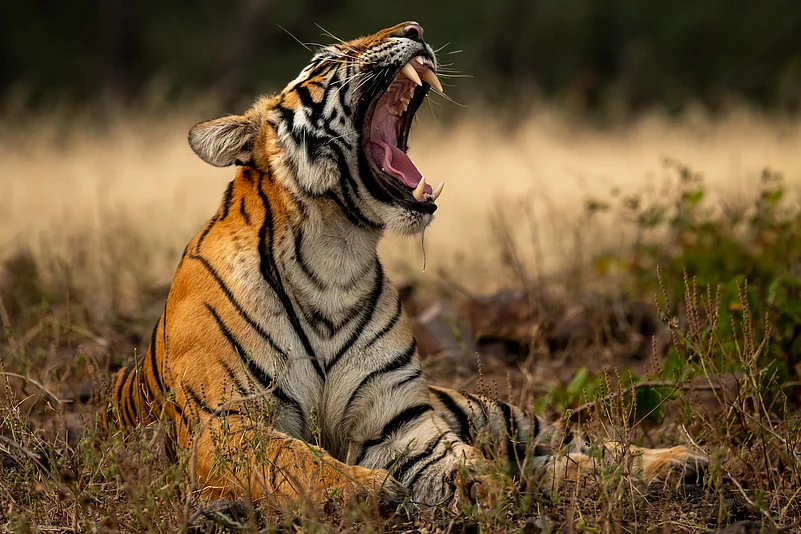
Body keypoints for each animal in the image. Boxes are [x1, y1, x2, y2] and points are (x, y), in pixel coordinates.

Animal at [106, 21, 707, 509]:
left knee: (576, 443)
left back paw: (679, 462)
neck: (333, 257)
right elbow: (299, 461)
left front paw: (489, 489)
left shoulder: (400, 423)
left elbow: (463, 461)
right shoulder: (227, 424)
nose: (415, 28)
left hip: (494, 411)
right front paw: (371, 490)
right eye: (327, 58)